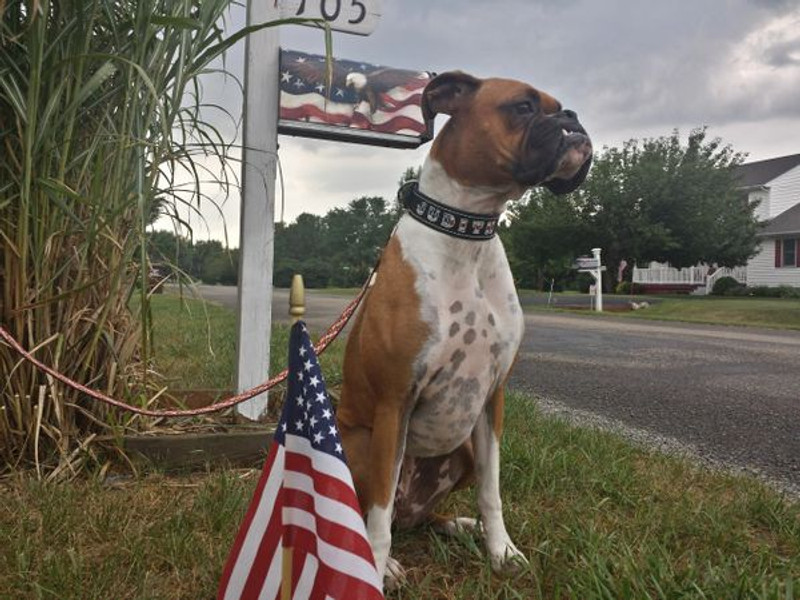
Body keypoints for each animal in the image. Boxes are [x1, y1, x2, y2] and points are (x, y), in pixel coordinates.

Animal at [334, 70, 592, 584]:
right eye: (524, 107)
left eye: (560, 107)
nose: (572, 120)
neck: (466, 231)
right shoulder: (395, 402)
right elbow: (377, 511)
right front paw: (376, 567)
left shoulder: (492, 402)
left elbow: (492, 493)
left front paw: (501, 551)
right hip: (360, 440)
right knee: (379, 509)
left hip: (464, 452)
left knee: (419, 515)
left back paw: (458, 524)